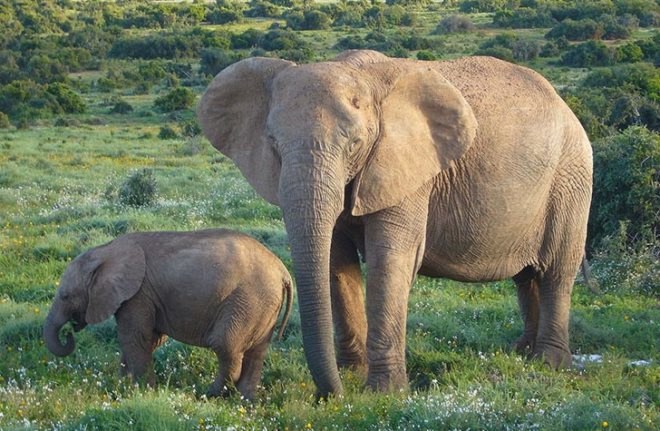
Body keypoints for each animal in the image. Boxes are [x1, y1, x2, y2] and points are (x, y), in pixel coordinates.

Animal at [43, 229, 293, 400]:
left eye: (65, 296)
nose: (69, 332)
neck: (105, 251)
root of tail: (282, 270)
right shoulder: (146, 297)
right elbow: (149, 340)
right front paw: (123, 385)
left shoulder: (138, 295)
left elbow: (136, 338)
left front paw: (141, 391)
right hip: (263, 305)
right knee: (257, 352)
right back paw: (245, 401)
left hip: (248, 300)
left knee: (226, 345)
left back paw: (207, 395)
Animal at [197, 50, 593, 397]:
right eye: (274, 144)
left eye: (355, 144)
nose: (331, 396)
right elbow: (336, 264)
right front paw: (352, 375)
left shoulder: (407, 168)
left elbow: (390, 260)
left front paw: (383, 392)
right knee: (526, 277)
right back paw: (522, 353)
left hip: (571, 178)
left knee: (557, 271)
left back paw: (549, 362)